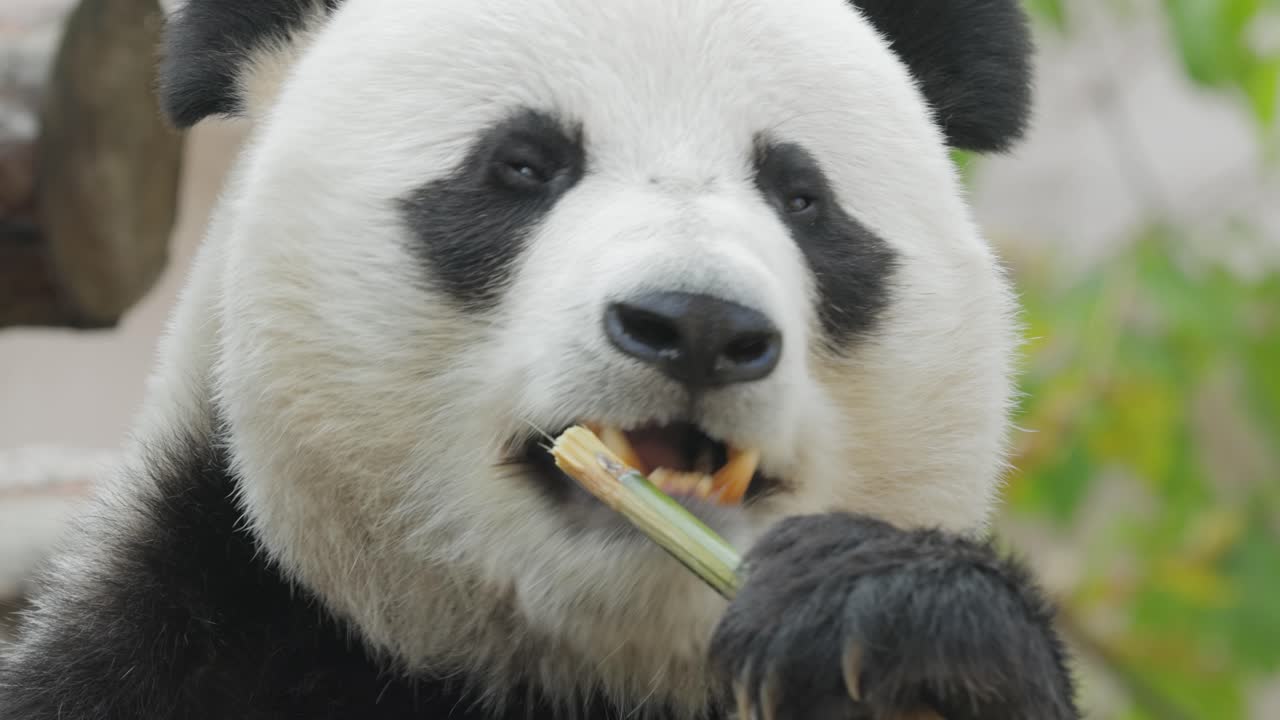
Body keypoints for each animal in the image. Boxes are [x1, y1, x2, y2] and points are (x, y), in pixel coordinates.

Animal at [0, 0, 1080, 718]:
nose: (695, 324)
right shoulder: (193, 637)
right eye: (522, 166)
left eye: (802, 199)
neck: (572, 672)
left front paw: (899, 637)